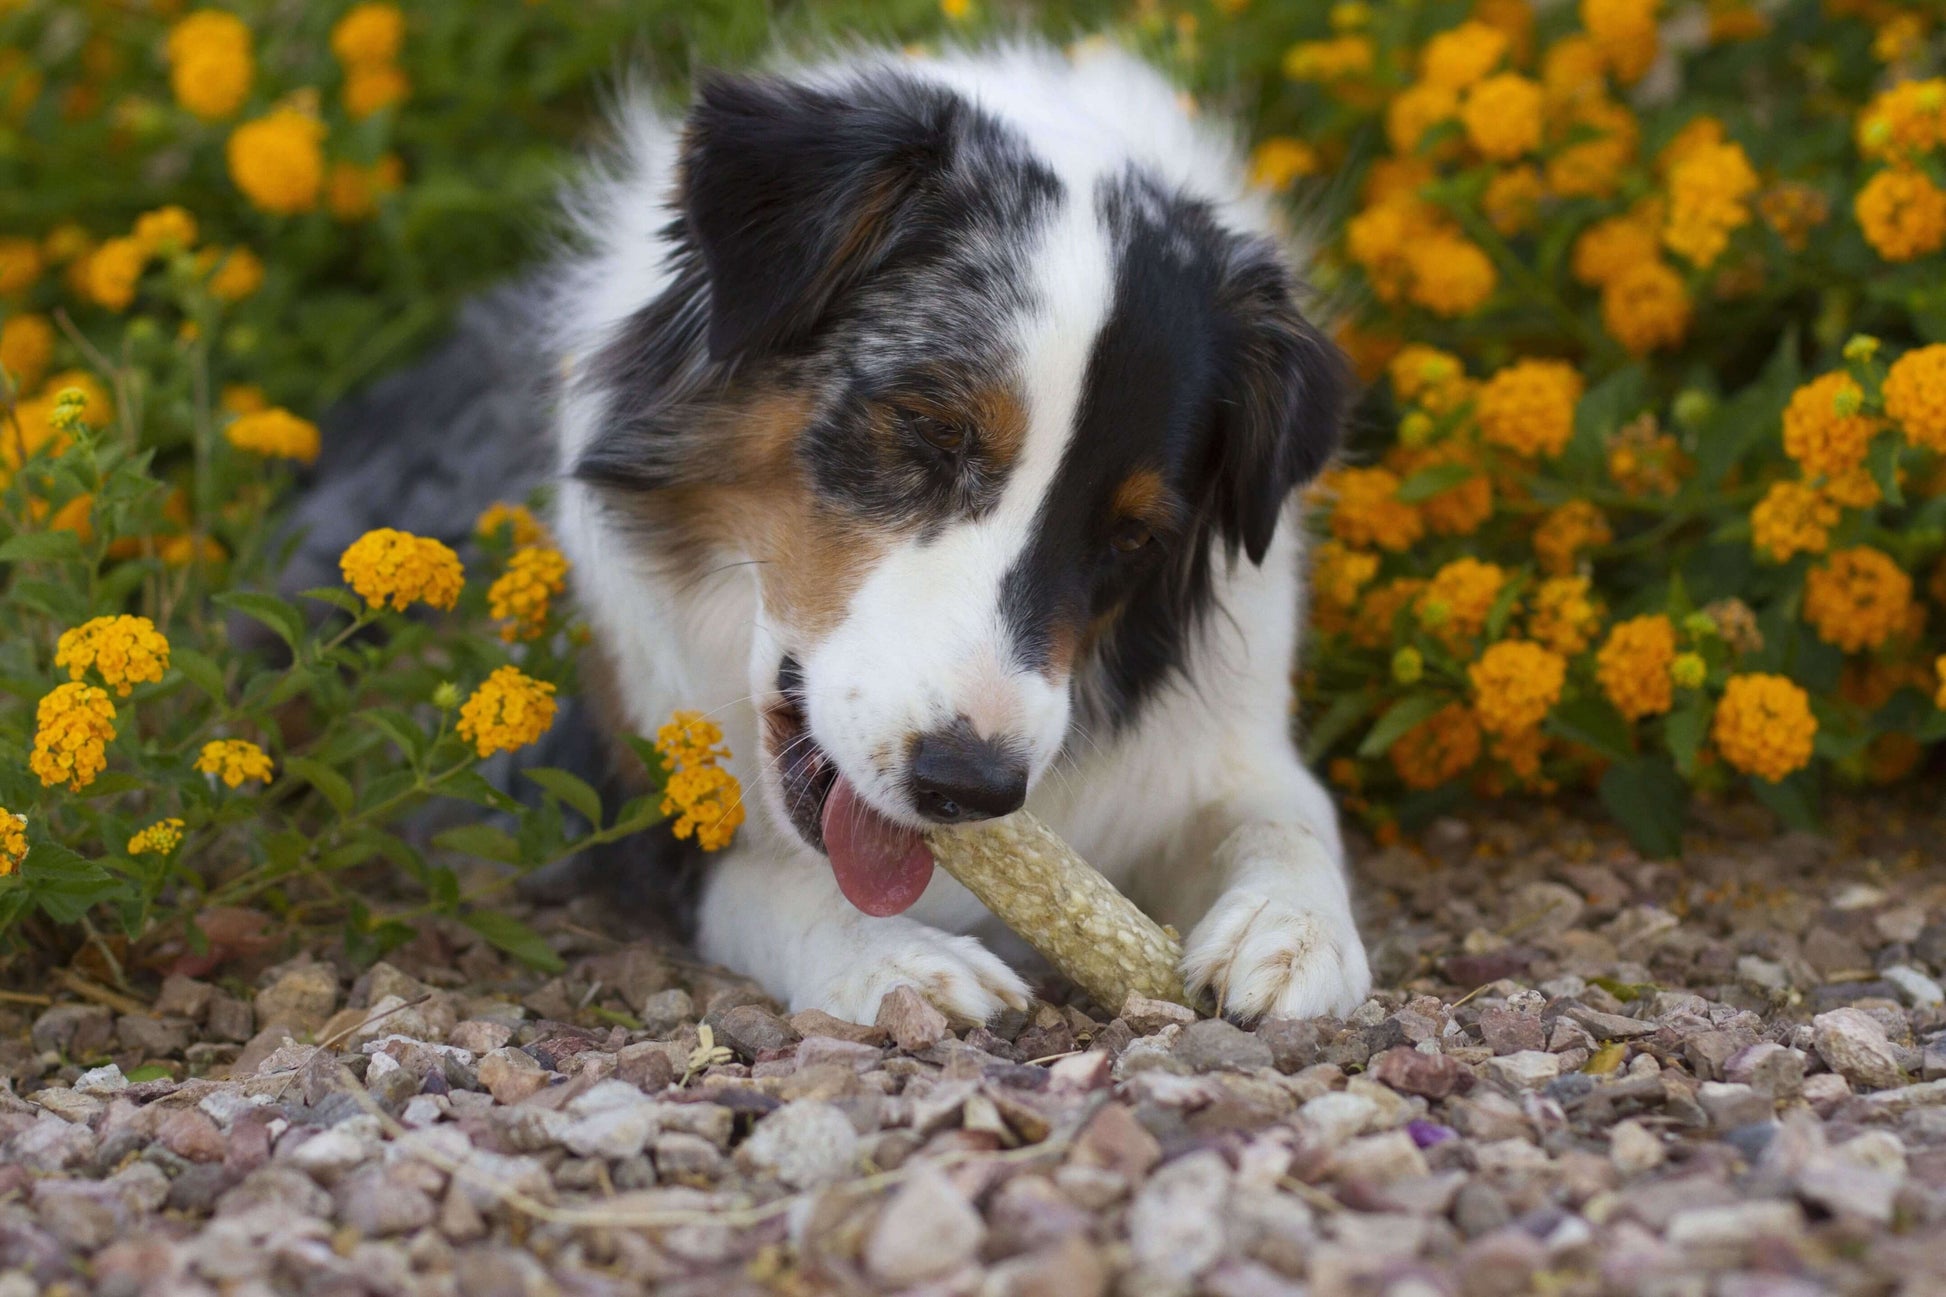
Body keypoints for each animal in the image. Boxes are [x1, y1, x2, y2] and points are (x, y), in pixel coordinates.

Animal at [295, 40, 1377, 1028]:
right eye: (931, 432)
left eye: (1133, 537)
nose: (969, 786)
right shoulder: (628, 788)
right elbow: (773, 883)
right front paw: (893, 960)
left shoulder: (1225, 741)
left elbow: (1291, 816)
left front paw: (1290, 930)